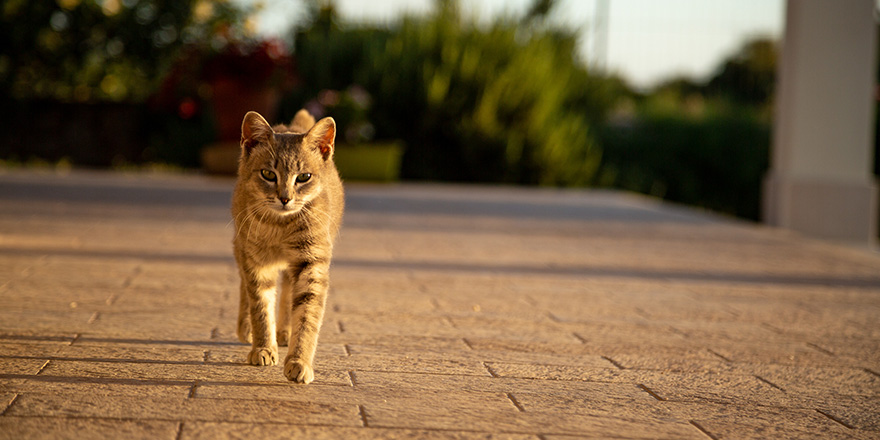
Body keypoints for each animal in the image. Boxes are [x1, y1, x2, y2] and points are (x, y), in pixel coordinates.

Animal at [230, 108, 344, 384]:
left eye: (304, 177)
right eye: (269, 174)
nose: (285, 198)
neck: (279, 226)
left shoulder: (311, 264)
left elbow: (307, 316)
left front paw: (299, 360)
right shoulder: (255, 263)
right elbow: (260, 306)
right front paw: (263, 346)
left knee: (288, 291)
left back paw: (284, 332)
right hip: (241, 248)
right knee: (245, 289)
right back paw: (249, 329)